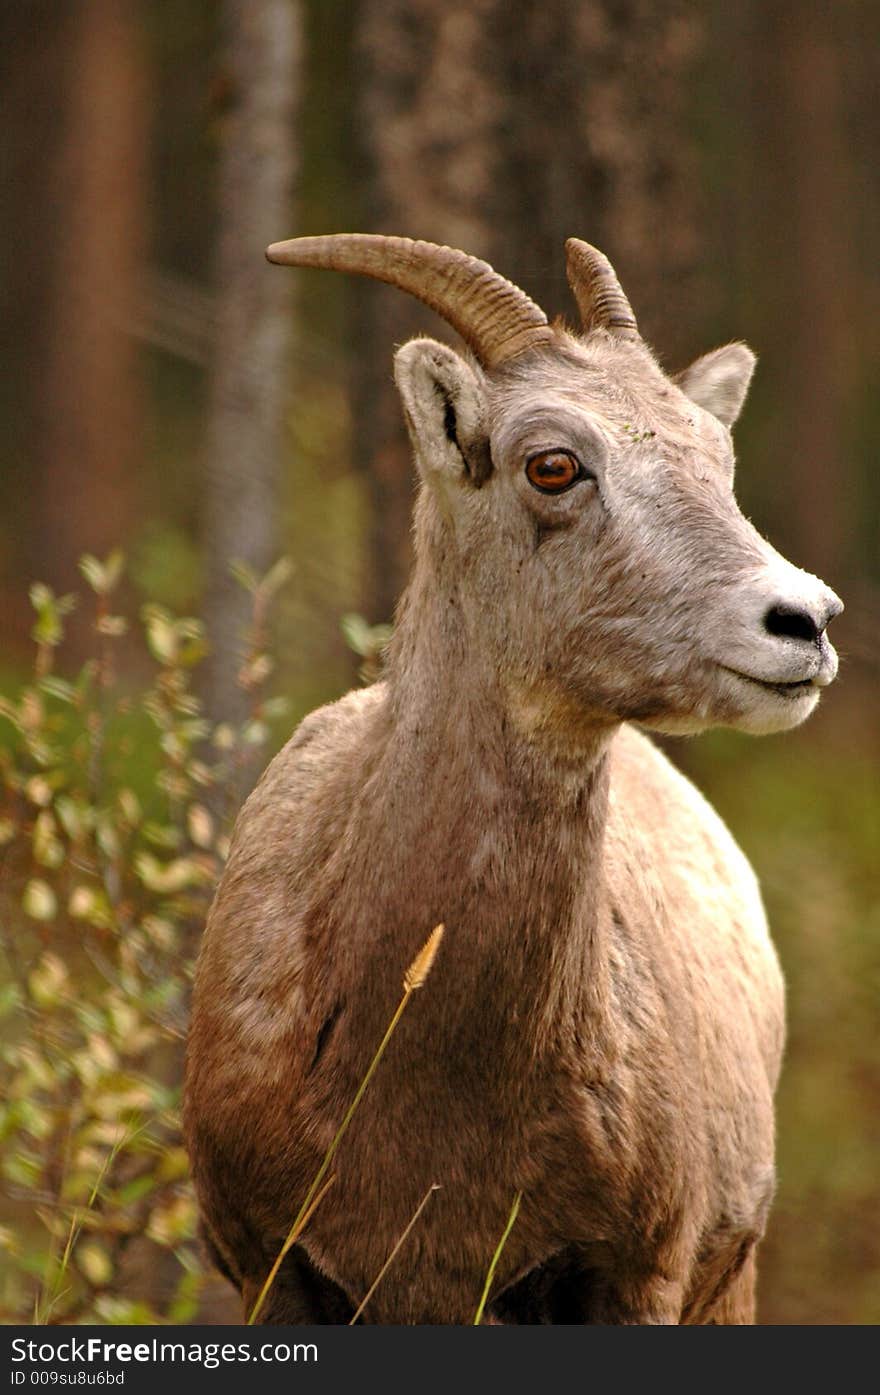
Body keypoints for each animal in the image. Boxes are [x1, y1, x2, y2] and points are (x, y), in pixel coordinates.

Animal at [182, 234, 842, 1322]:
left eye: (719, 458)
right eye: (553, 464)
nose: (804, 621)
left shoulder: (634, 1277)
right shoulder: (273, 1269)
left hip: (731, 1279)